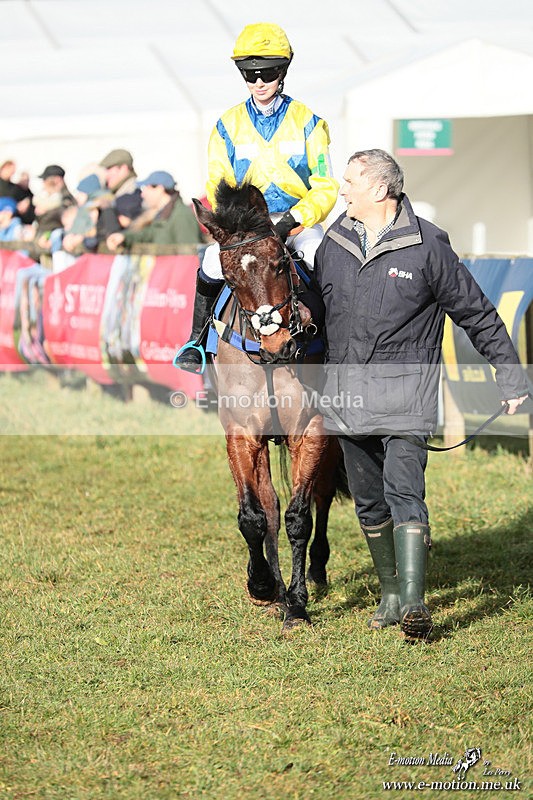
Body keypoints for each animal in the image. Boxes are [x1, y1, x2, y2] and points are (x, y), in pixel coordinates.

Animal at [191, 180, 346, 635]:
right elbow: (256, 516)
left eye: (279, 264)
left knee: (322, 496)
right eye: (229, 277)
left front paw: (297, 605)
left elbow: (300, 517)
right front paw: (263, 586)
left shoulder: (311, 430)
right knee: (271, 507)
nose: (278, 343)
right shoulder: (243, 434)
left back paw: (316, 571)